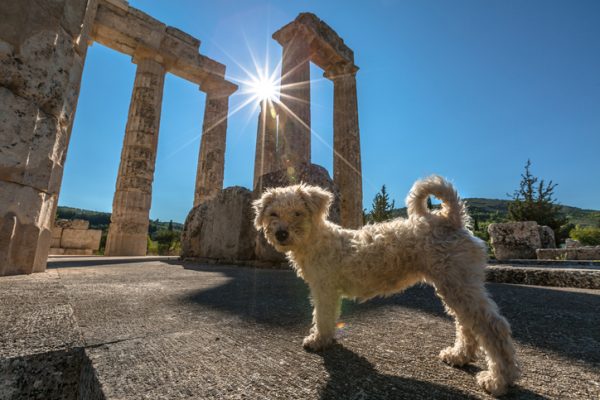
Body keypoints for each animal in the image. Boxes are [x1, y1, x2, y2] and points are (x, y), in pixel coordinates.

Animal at [253, 177, 520, 396]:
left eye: (298, 213)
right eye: (273, 214)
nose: (281, 234)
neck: (316, 241)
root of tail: (449, 218)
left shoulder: (325, 289)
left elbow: (322, 318)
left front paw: (318, 341)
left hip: (457, 283)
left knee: (493, 327)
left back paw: (498, 380)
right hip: (455, 284)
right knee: (467, 324)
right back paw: (459, 356)